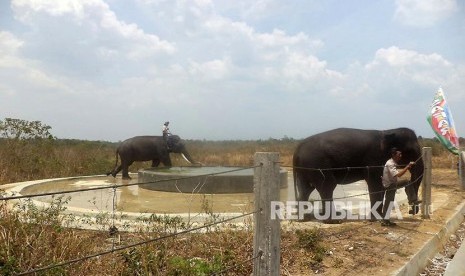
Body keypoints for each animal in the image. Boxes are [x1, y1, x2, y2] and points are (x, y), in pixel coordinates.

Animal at [294, 128, 424, 221]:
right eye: (411, 151)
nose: (412, 211)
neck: (388, 131)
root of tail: (298, 148)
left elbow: (381, 185)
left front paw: (380, 216)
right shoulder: (373, 160)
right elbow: (375, 184)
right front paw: (376, 218)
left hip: (305, 169)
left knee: (306, 189)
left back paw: (304, 218)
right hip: (317, 165)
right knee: (328, 186)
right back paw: (333, 220)